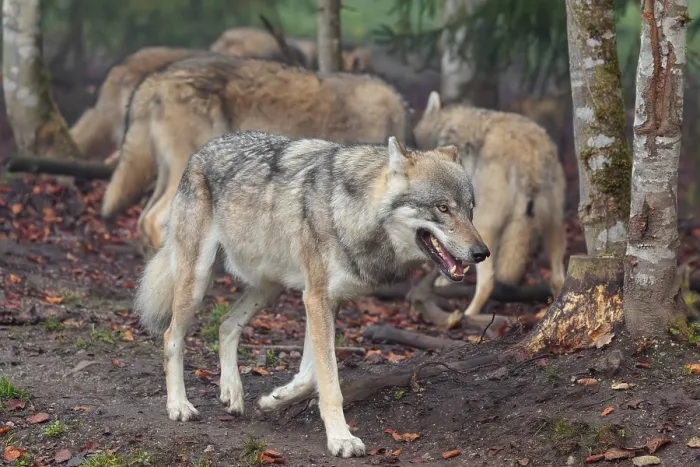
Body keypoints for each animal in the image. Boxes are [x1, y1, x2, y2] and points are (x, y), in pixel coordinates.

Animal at [134, 131, 490, 457]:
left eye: (471, 210)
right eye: (443, 208)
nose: (482, 253)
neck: (350, 210)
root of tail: (203, 149)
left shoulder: (325, 301)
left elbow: (310, 375)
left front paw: (274, 398)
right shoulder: (316, 298)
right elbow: (329, 383)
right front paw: (341, 439)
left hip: (268, 288)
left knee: (226, 325)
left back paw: (231, 393)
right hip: (197, 283)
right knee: (170, 337)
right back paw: (179, 406)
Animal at [413, 91, 567, 318]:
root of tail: (529, 153)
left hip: (486, 222)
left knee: (488, 283)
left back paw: (467, 315)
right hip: (554, 224)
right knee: (557, 278)